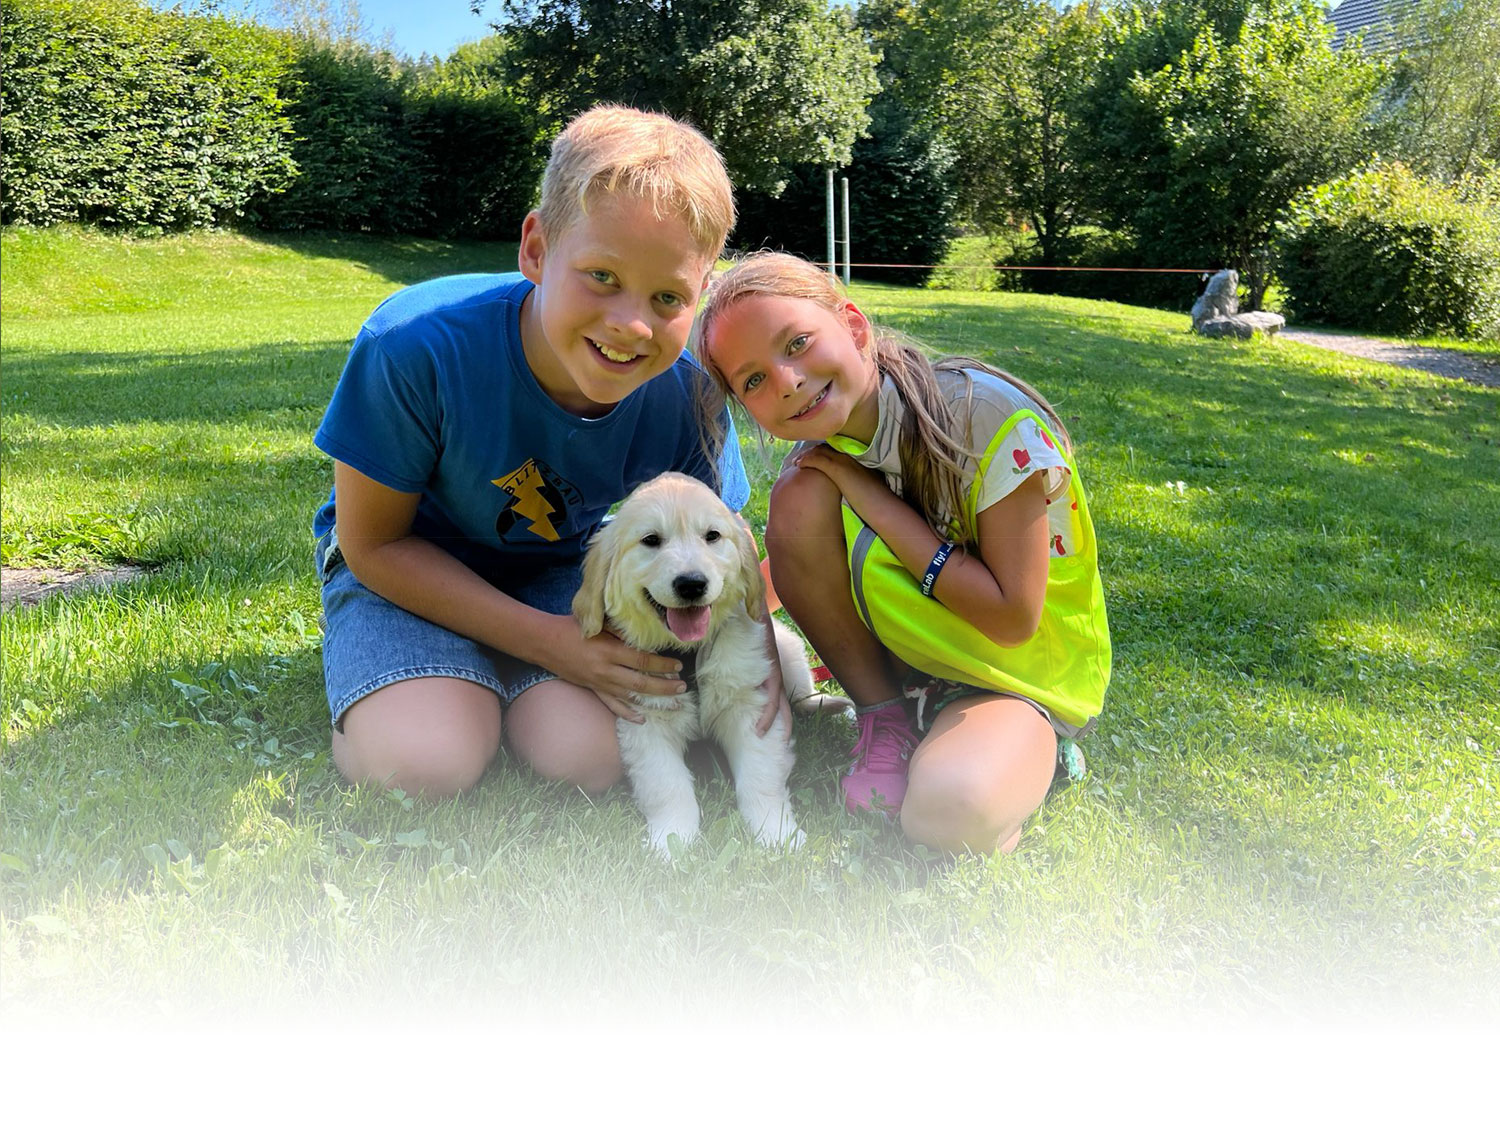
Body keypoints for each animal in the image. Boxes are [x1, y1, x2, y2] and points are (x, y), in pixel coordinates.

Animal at [573, 472, 848, 854]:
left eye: (712, 536)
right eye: (651, 540)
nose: (691, 584)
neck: (690, 653)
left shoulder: (753, 707)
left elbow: (761, 779)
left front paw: (778, 834)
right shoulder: (644, 720)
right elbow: (666, 785)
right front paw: (670, 841)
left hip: (788, 651)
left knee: (803, 694)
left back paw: (832, 705)